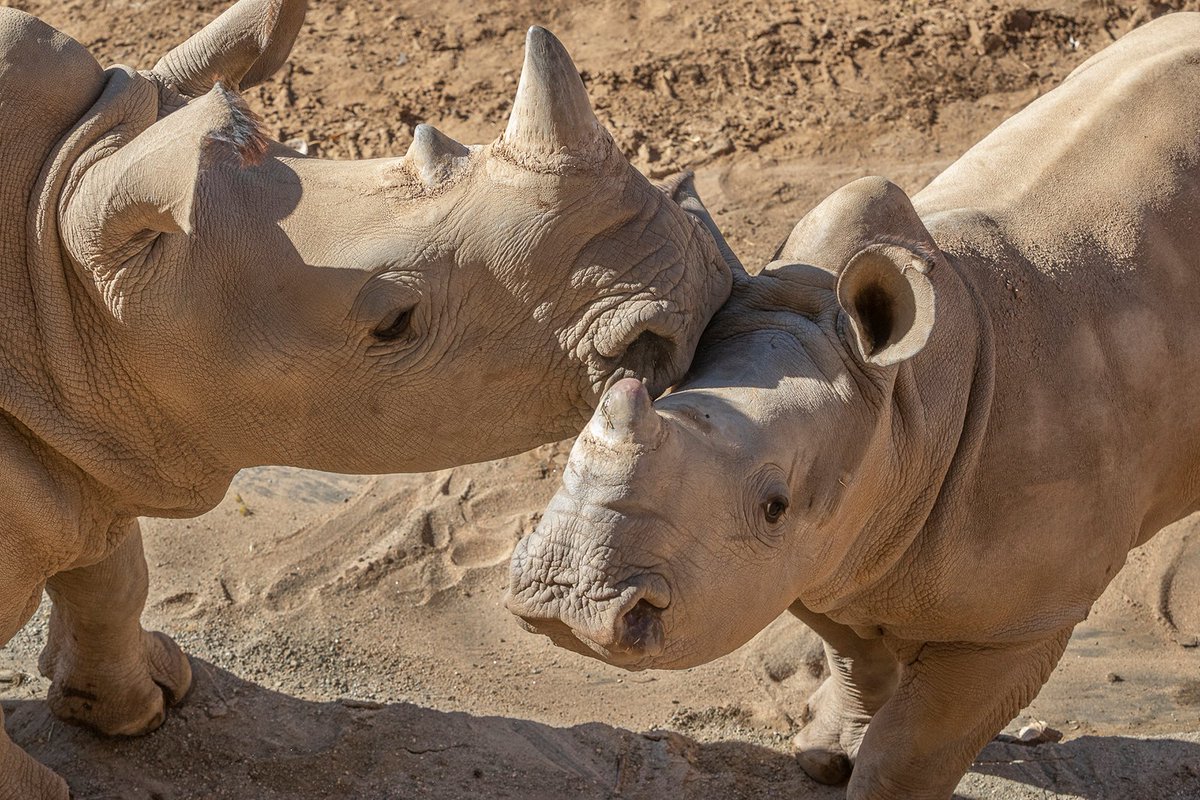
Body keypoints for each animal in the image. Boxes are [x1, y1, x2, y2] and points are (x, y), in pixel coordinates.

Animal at [507, 13, 1200, 799]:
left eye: (774, 506)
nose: (566, 602)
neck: (908, 404)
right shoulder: (829, 543)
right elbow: (855, 660)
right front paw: (824, 754)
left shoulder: (1018, 620)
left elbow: (914, 746)